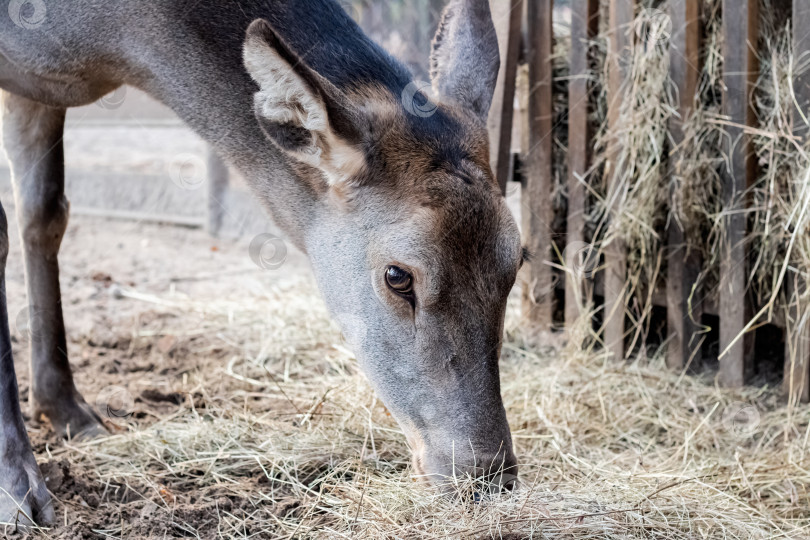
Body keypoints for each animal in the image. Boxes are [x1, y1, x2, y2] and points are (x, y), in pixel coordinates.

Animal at [0, 0, 524, 528]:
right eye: (398, 275)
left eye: (517, 260)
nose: (487, 476)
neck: (101, 47)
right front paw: (19, 490)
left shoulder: (34, 87)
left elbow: (44, 214)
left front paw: (64, 407)